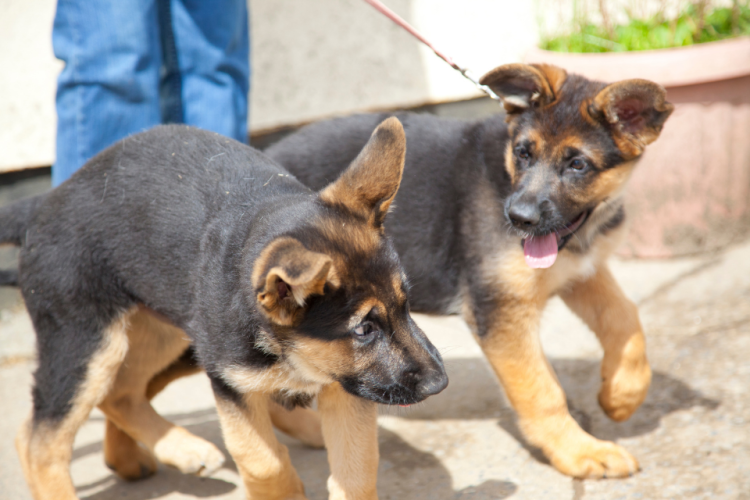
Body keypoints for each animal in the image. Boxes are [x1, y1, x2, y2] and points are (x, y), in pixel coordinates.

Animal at [4, 118, 446, 500]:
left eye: (405, 304)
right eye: (364, 329)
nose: (438, 385)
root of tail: (46, 200)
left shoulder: (346, 386)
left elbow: (356, 470)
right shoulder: (231, 381)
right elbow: (262, 459)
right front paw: (283, 491)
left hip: (162, 327)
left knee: (120, 393)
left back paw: (163, 453)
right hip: (87, 342)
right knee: (39, 441)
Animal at [264, 64, 676, 478]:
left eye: (578, 165)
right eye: (523, 153)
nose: (518, 219)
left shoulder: (582, 272)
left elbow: (625, 318)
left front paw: (622, 395)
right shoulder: (500, 311)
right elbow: (542, 390)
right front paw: (578, 451)